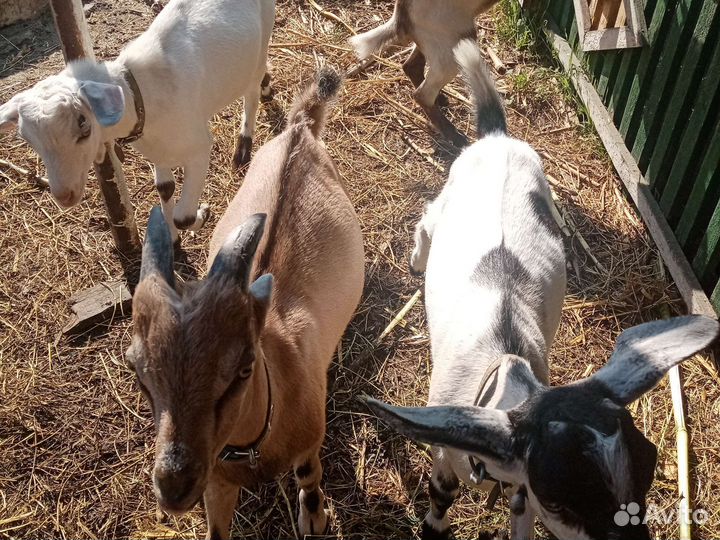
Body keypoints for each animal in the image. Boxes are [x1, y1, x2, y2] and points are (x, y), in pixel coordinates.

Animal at [0, 0, 275, 242]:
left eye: (83, 126)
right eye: (28, 139)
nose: (64, 195)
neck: (139, 93)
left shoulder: (198, 147)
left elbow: (183, 217)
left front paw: (203, 215)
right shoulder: (157, 149)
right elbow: (165, 187)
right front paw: (171, 238)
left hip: (264, 30)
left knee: (251, 91)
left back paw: (244, 145)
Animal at [126, 67, 365, 539]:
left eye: (243, 367)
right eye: (137, 369)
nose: (174, 487)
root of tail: (298, 129)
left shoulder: (311, 439)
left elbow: (309, 475)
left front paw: (314, 516)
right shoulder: (217, 482)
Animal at [349, 0, 498, 147]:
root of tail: (401, 13)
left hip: (436, 42)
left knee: (411, 67)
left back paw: (440, 100)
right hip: (455, 45)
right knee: (422, 95)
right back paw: (453, 135)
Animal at [365, 41, 720, 540]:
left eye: (650, 463)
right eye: (561, 498)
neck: (501, 370)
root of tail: (497, 138)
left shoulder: (520, 491)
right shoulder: (445, 454)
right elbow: (440, 499)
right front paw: (434, 524)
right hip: (449, 195)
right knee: (428, 217)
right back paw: (417, 258)